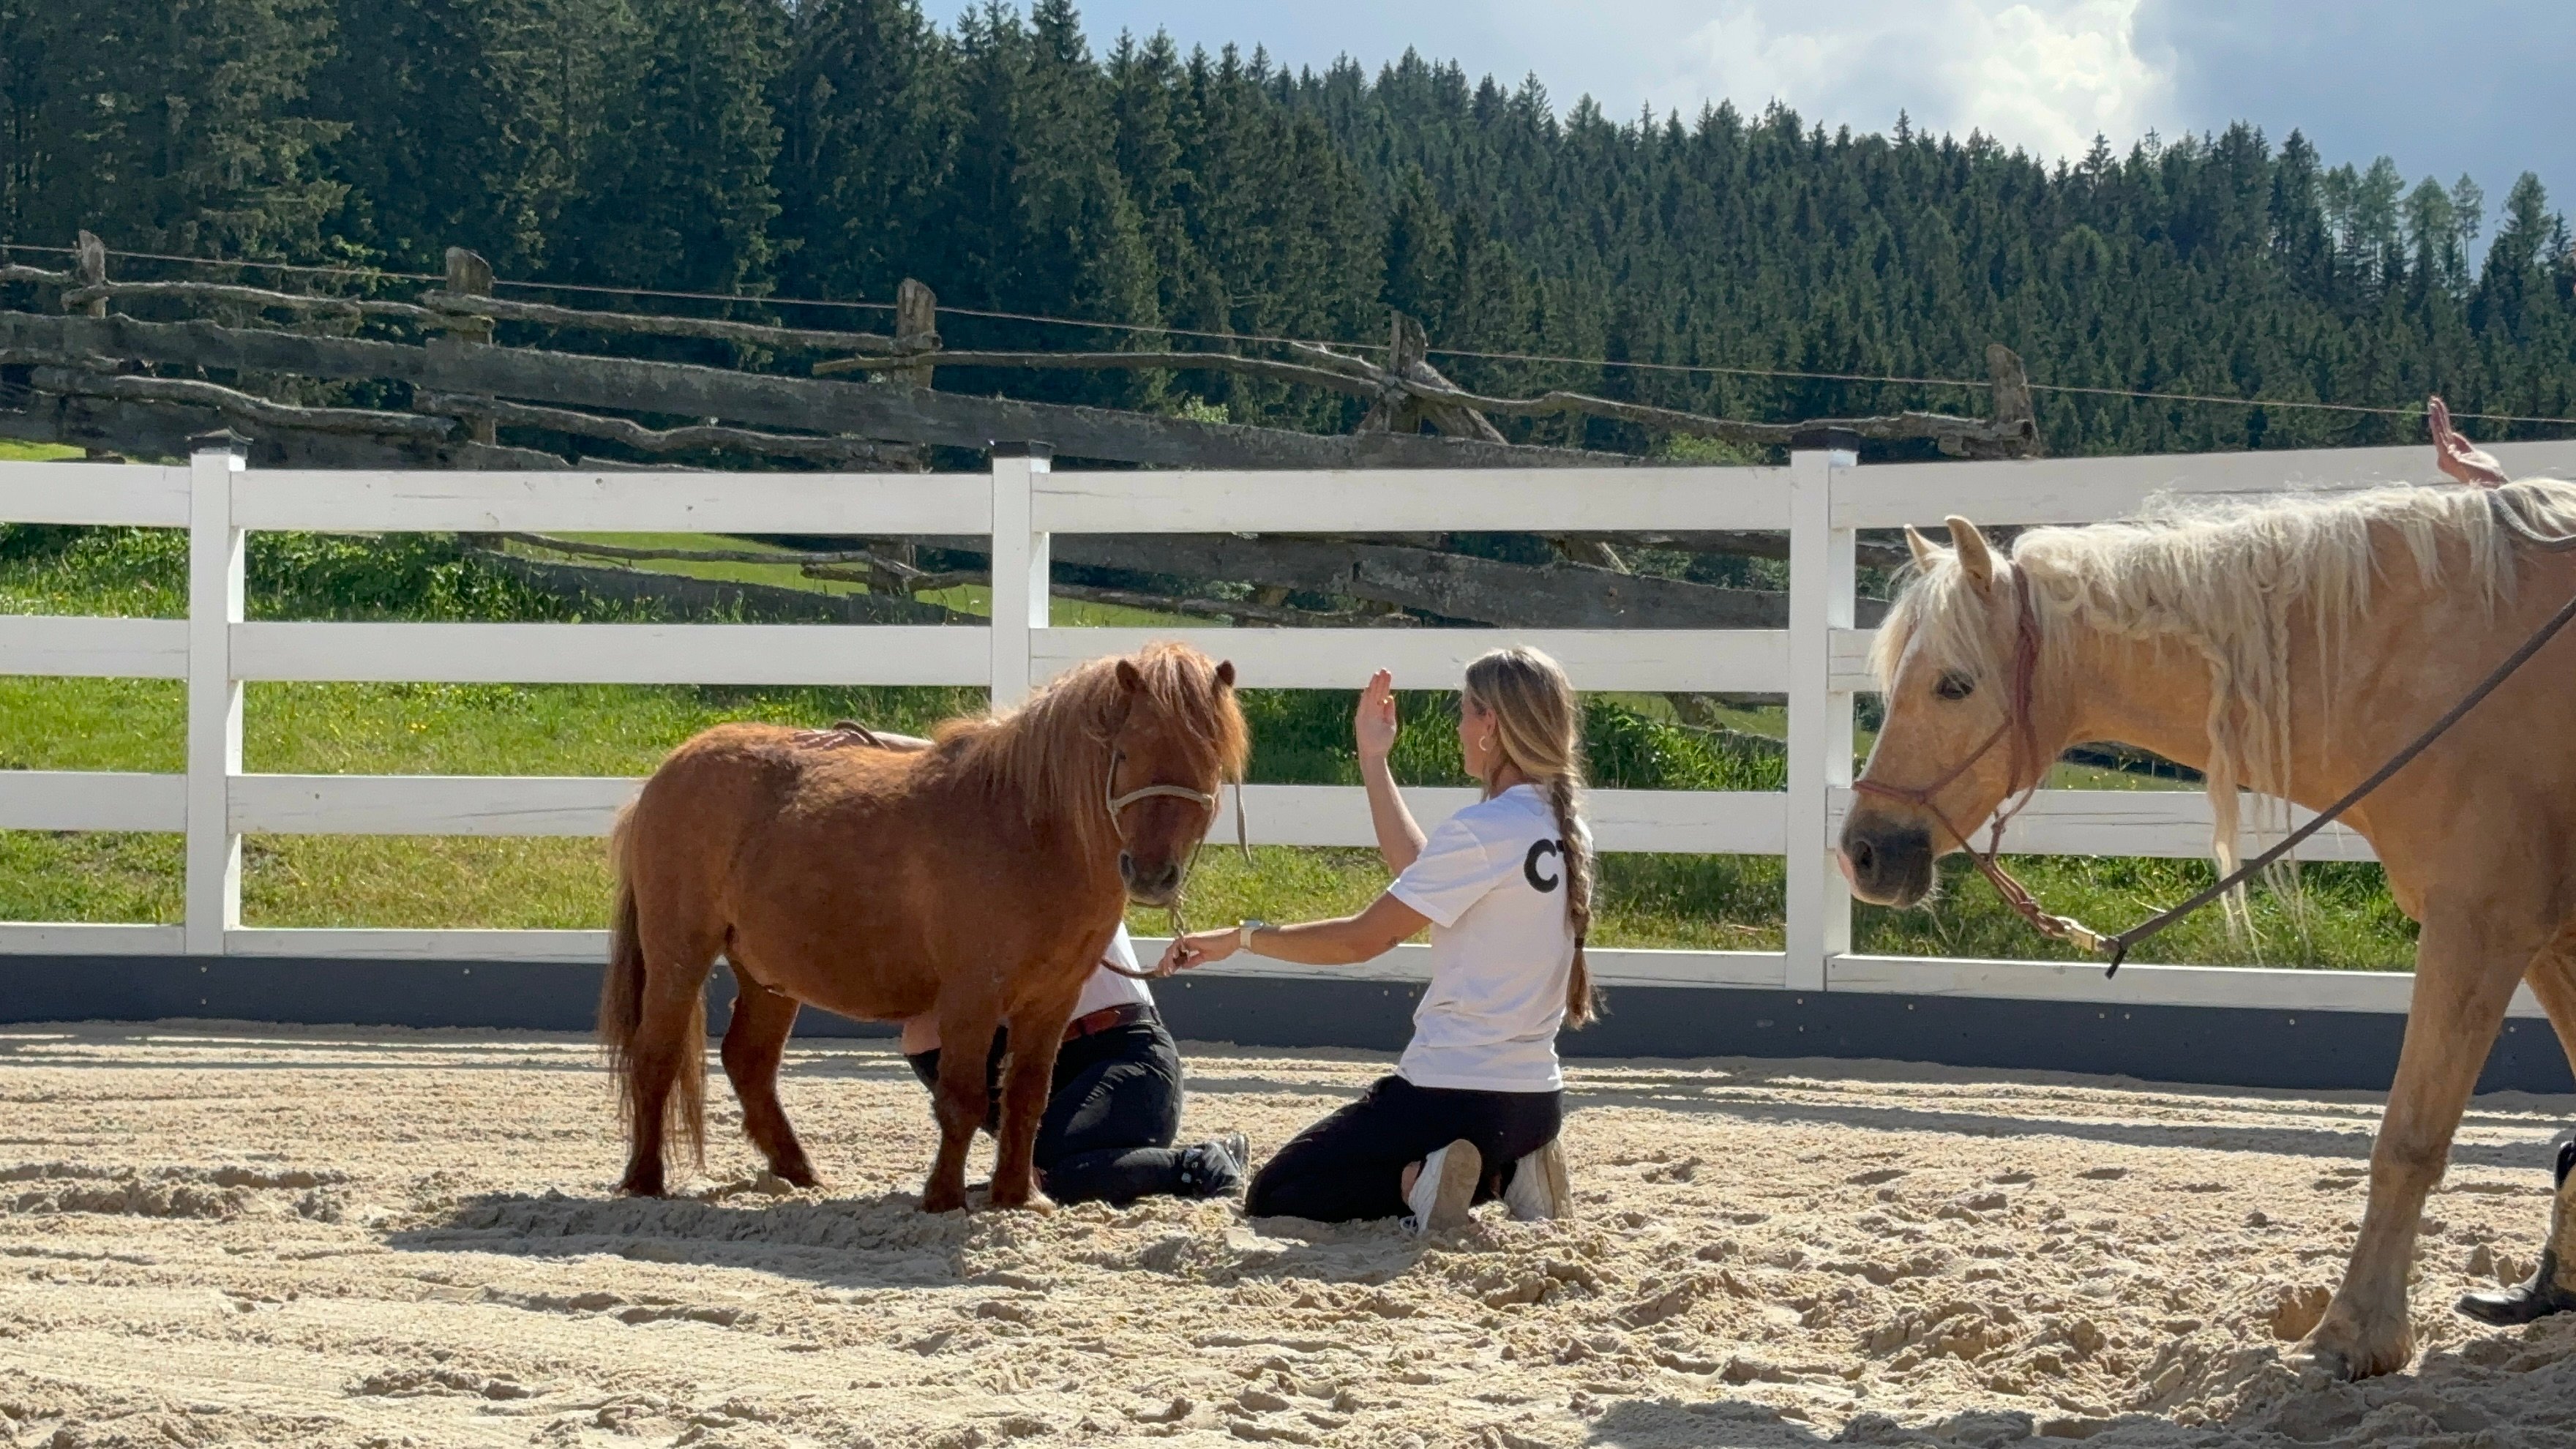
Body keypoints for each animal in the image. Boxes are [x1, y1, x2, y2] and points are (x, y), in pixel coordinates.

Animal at [602, 639, 1246, 1206]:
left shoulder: (1052, 1001)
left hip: (767, 975)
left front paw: (1016, 1198)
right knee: (656, 1055)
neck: (1026, 829)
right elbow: (962, 1099)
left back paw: (800, 1172)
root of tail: (666, 774)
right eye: (1127, 751)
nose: (1153, 874)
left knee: (749, 1063)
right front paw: (943, 1198)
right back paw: (645, 1180)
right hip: (679, 953)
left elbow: (1027, 1099)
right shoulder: (972, 995)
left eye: (1211, 761)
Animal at [1844, 479, 2576, 1371]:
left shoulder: (2481, 924)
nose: (1862, 851)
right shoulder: (2548, 939)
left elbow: (2408, 1137)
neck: (2448, 661)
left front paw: (2356, 1333)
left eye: (1953, 685)